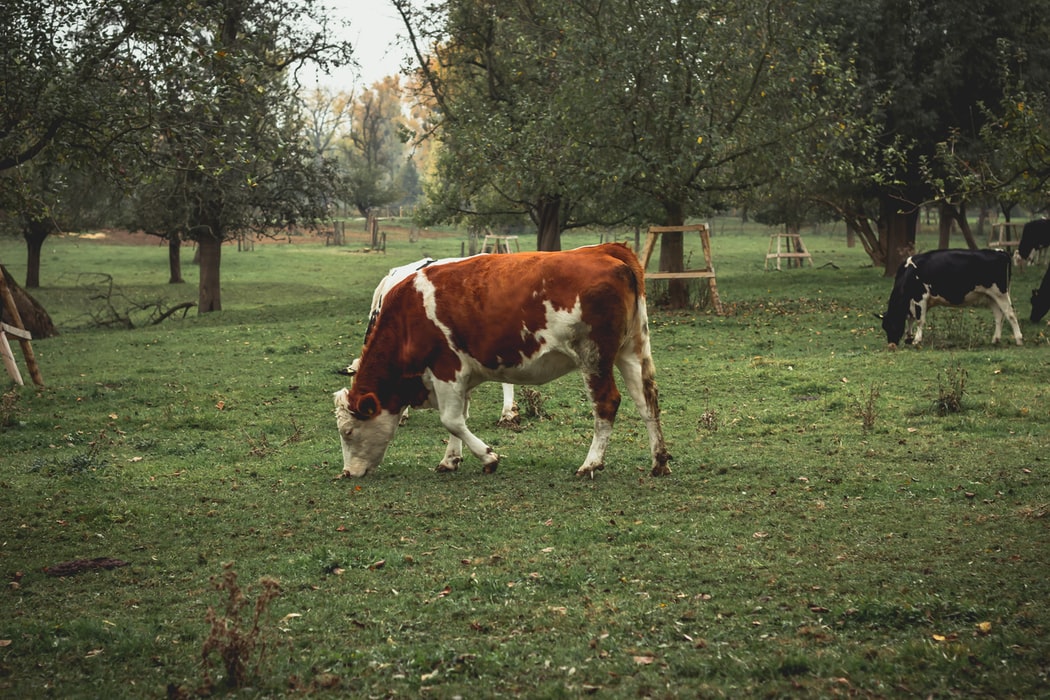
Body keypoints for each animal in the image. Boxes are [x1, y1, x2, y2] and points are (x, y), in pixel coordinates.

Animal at [881, 251, 1020, 350]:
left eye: (892, 324)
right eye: (884, 327)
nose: (891, 345)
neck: (909, 273)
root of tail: (1000, 252)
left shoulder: (920, 296)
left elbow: (920, 320)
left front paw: (916, 340)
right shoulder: (912, 302)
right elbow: (911, 318)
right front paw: (908, 338)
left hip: (1001, 293)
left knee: (1011, 314)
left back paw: (1019, 339)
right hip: (991, 296)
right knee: (999, 316)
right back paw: (995, 340)